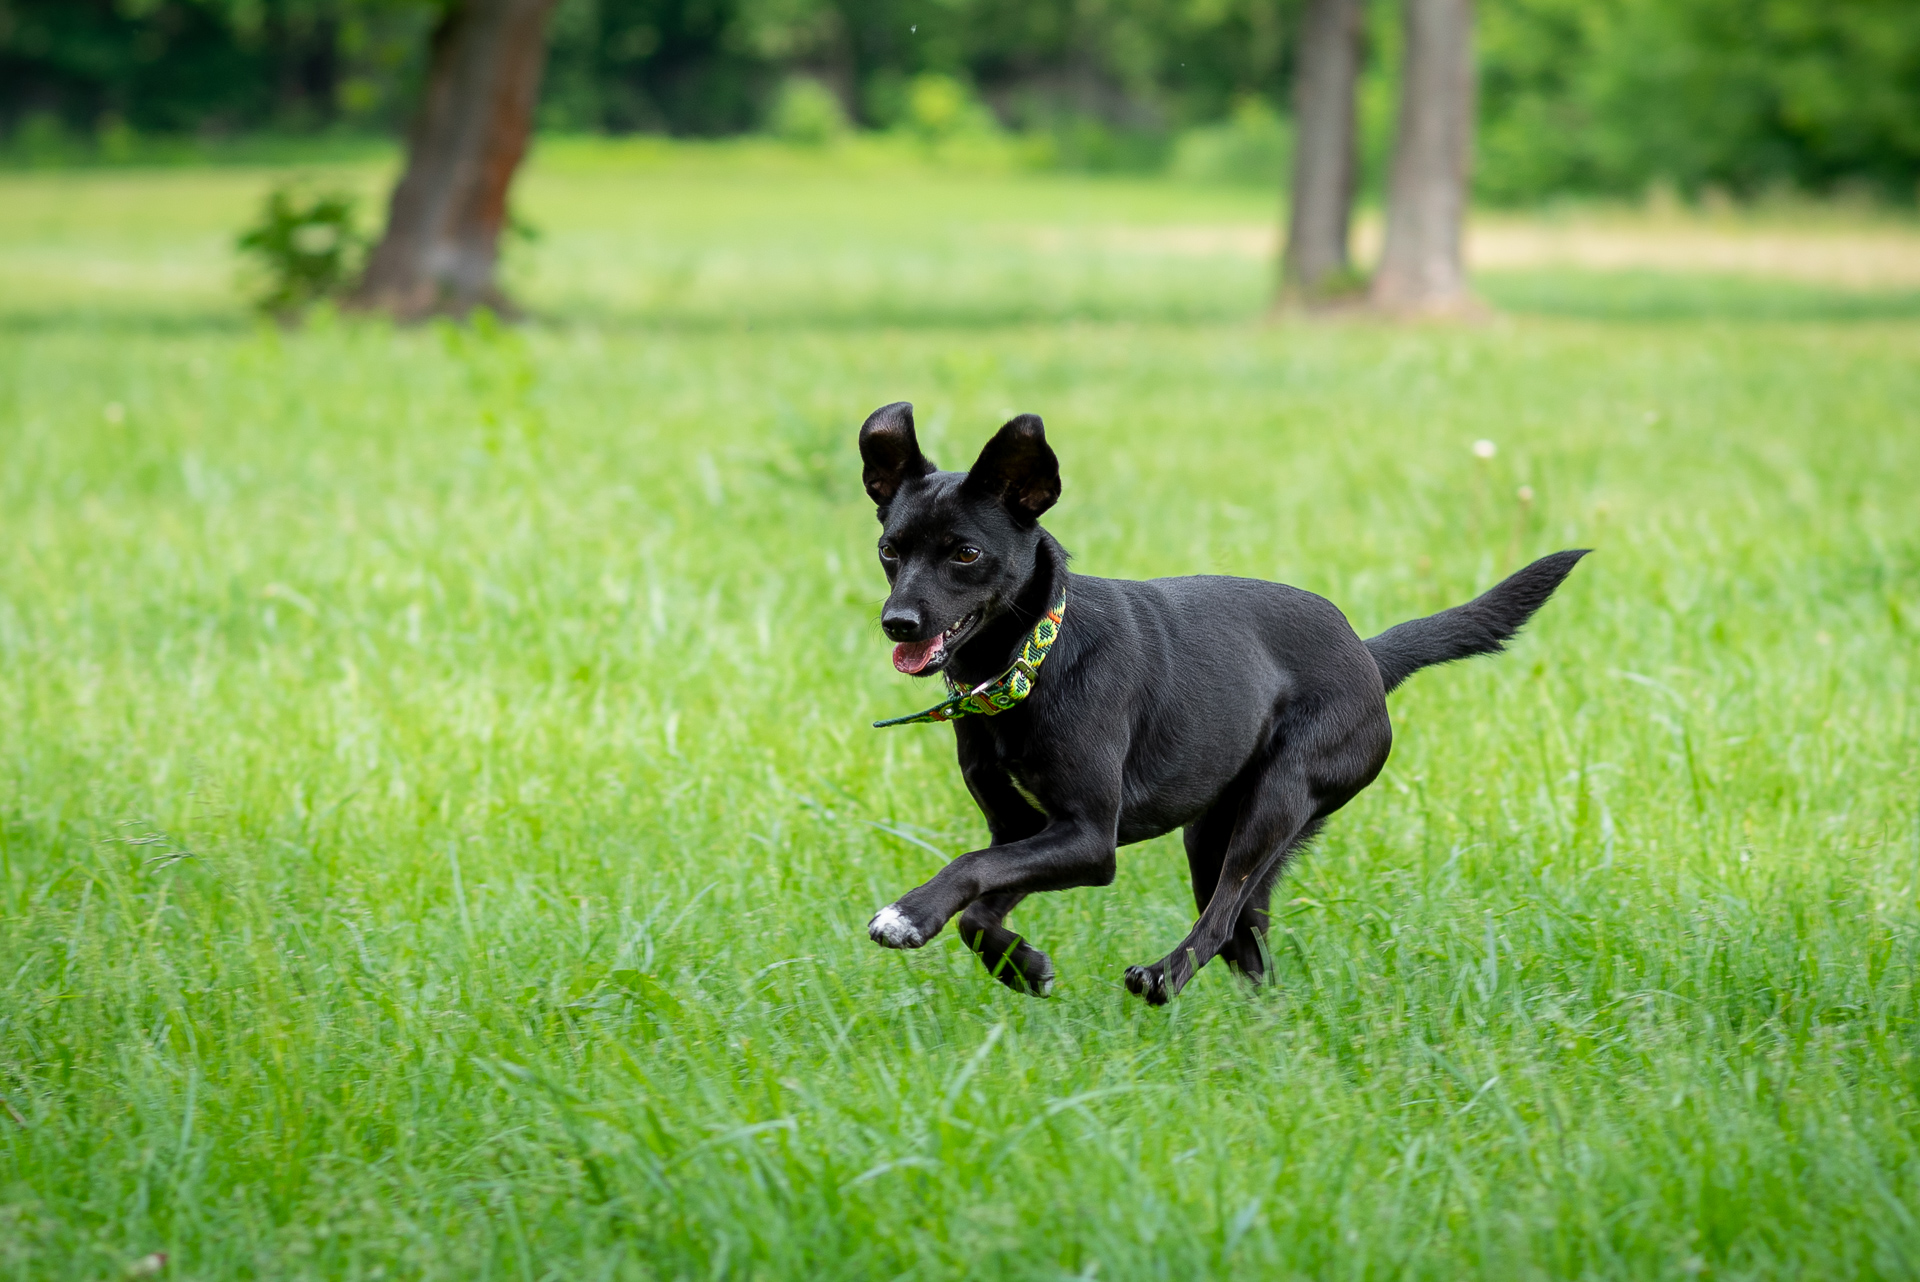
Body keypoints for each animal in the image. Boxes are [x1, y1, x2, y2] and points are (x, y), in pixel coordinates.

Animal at [864, 404, 1582, 1005]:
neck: (1030, 663)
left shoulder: (1090, 839)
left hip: (1279, 799)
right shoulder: (1025, 831)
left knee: (1222, 916)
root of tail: (1368, 657)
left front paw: (910, 915)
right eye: (889, 550)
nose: (897, 623)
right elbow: (980, 905)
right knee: (1246, 935)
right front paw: (1021, 965)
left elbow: (971, 868)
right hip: (1215, 830)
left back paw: (1162, 979)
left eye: (966, 553)